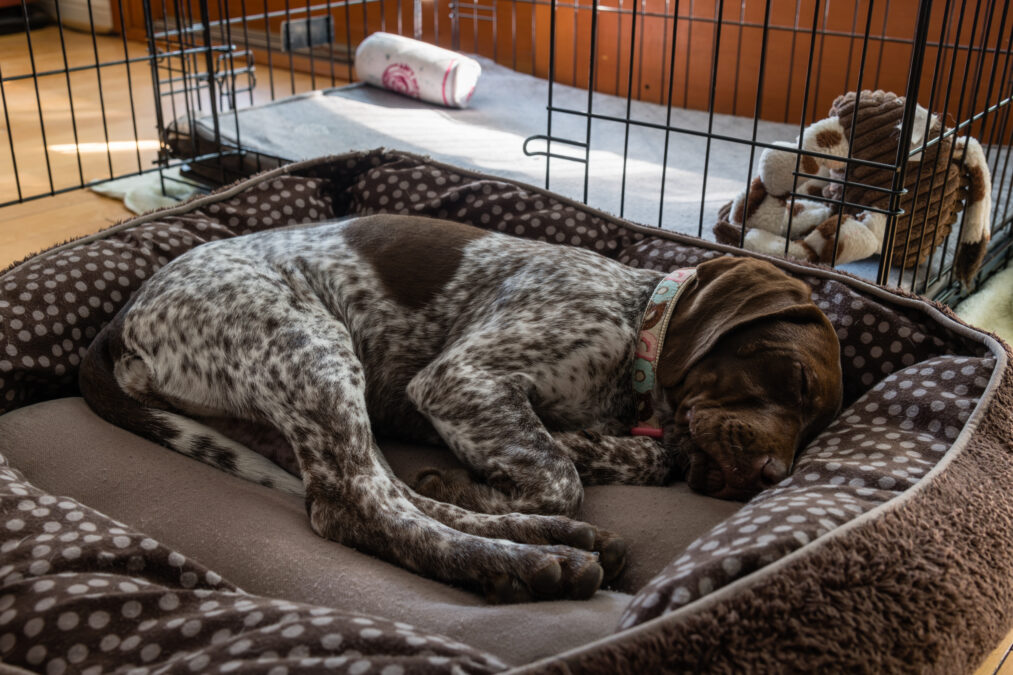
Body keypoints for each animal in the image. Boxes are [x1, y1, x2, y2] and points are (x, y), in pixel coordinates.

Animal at [79, 213, 842, 600]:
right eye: (793, 379)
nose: (773, 477)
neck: (636, 323)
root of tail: (124, 319)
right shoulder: (459, 378)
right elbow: (560, 475)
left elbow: (625, 456)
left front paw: (577, 453)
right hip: (310, 347)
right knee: (355, 506)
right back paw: (524, 563)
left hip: (289, 403)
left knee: (383, 490)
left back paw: (540, 533)